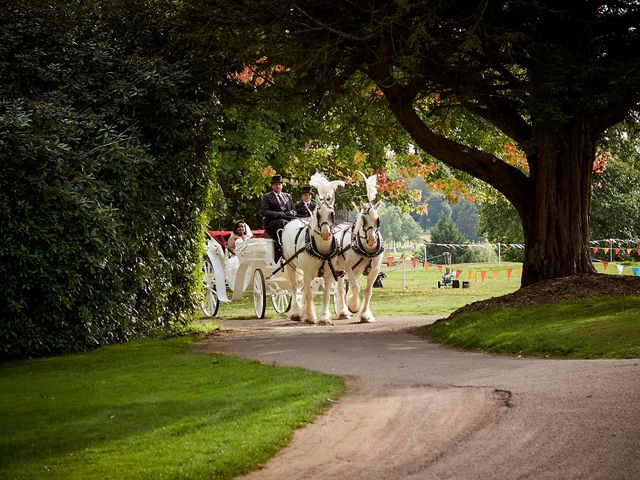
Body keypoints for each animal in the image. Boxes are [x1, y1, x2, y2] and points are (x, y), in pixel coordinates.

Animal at [282, 171, 344, 324]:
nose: (326, 233)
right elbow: (309, 294)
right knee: (294, 287)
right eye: (318, 214)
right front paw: (310, 316)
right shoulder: (308, 272)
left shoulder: (329, 274)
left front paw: (324, 318)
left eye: (332, 213)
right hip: (290, 265)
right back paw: (297, 312)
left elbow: (325, 295)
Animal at [332, 172, 382, 322]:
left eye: (378, 220)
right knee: (339, 288)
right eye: (363, 219)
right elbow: (355, 287)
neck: (367, 250)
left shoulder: (374, 270)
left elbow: (368, 291)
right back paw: (343, 311)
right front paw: (353, 305)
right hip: (337, 268)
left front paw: (365, 314)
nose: (372, 241)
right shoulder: (349, 268)